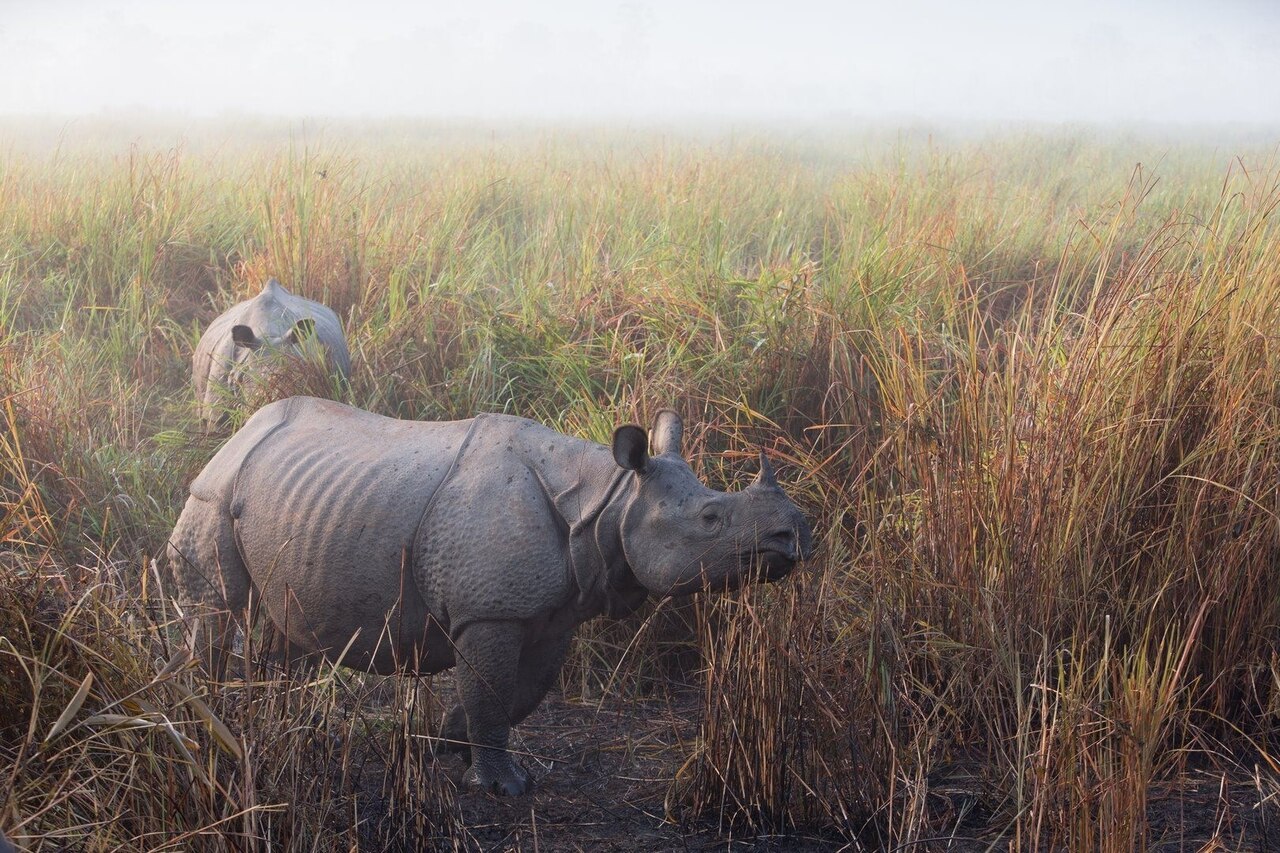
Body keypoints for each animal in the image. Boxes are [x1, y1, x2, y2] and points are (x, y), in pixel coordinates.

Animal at [167, 397, 812, 795]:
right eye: (711, 518)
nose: (794, 534)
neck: (610, 497)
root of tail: (236, 434)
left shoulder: (553, 612)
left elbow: (521, 693)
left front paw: (441, 741)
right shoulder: (490, 611)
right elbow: (494, 690)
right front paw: (502, 786)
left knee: (281, 624)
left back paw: (271, 724)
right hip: (210, 493)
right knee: (218, 607)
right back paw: (211, 720)